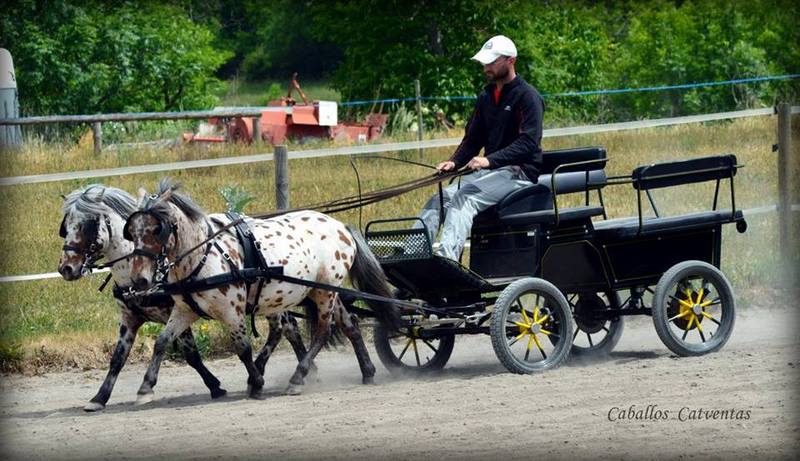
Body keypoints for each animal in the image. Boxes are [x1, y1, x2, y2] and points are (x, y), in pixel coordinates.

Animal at [124, 179, 399, 400]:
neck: (203, 254)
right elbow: (162, 342)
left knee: (322, 332)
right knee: (349, 324)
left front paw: (256, 382)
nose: (139, 280)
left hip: (324, 293)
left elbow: (243, 348)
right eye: (132, 232)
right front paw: (145, 388)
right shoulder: (184, 310)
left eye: (157, 229)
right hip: (324, 290)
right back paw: (367, 371)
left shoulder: (232, 310)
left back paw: (297, 378)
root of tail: (341, 226)